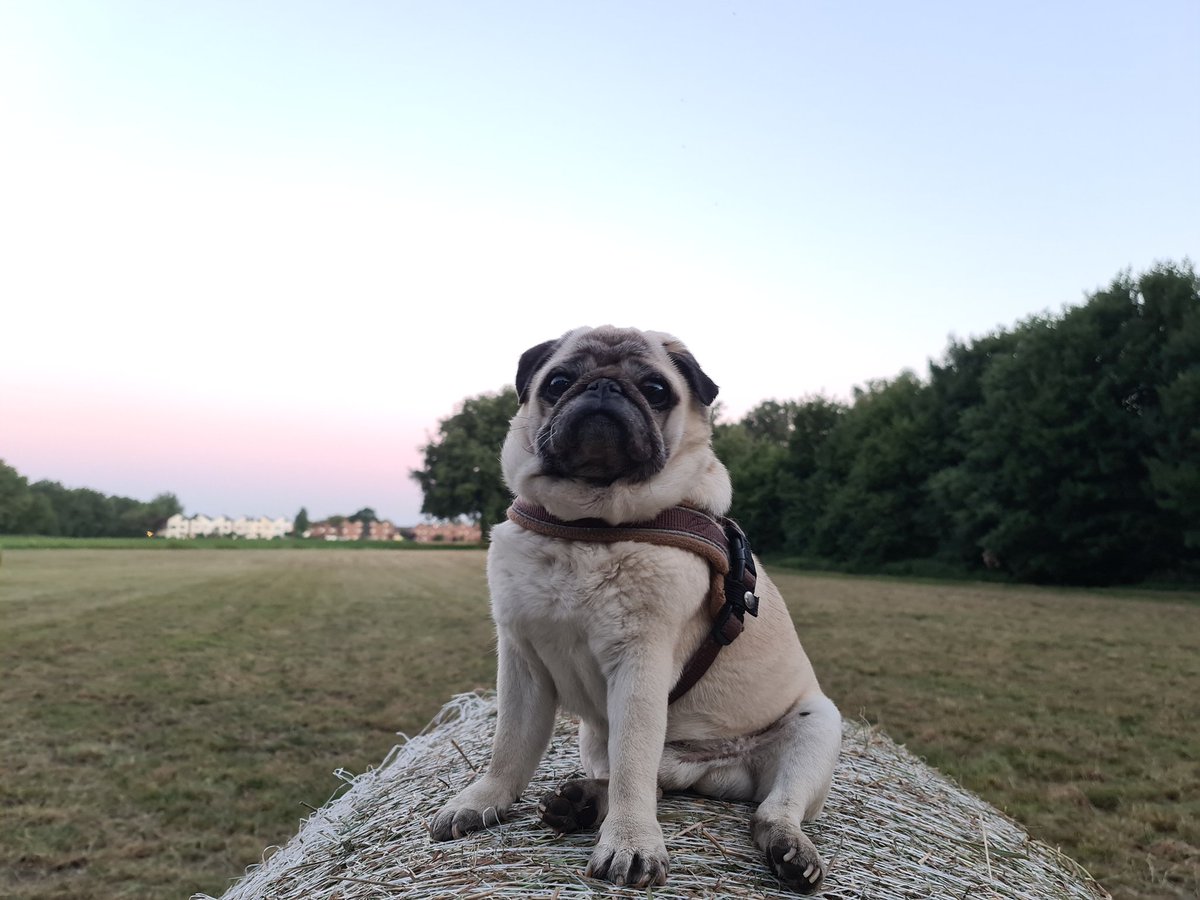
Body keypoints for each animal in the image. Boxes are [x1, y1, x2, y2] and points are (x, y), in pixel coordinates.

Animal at [434, 326, 844, 897]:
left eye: (655, 389)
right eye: (557, 382)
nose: (605, 386)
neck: (587, 528)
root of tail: (707, 770)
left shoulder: (640, 668)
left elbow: (633, 766)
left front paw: (630, 844)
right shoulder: (521, 662)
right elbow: (509, 747)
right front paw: (482, 802)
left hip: (818, 728)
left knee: (762, 809)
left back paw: (789, 850)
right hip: (594, 736)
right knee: (649, 786)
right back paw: (583, 803)